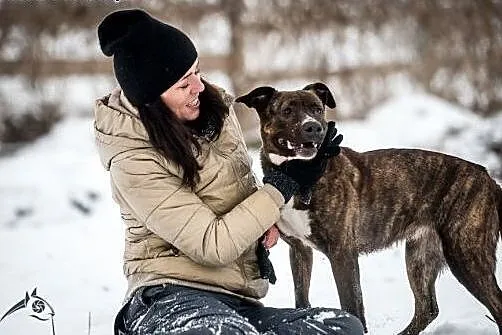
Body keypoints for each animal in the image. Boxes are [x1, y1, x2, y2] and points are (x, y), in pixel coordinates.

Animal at [235, 82, 502, 334]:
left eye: (317, 110)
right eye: (287, 111)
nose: (314, 127)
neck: (298, 177)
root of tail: (488, 179)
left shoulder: (342, 254)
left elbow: (352, 305)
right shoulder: (300, 251)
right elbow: (302, 300)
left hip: (466, 254)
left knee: (496, 305)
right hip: (421, 257)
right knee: (427, 308)